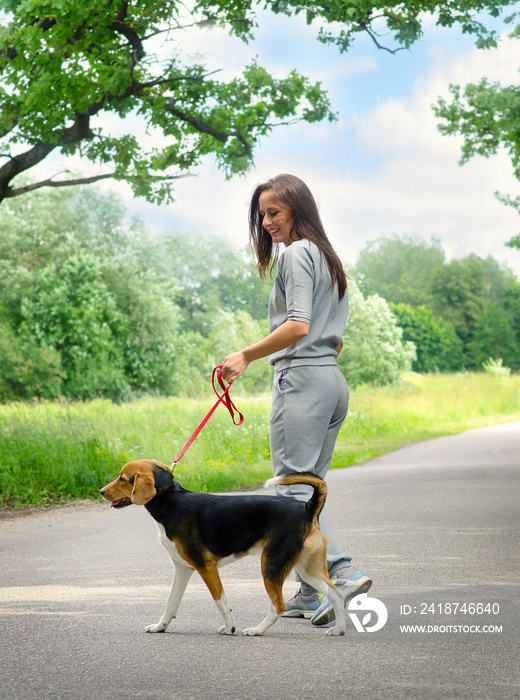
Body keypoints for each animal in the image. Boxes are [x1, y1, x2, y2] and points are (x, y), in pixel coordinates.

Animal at [99, 460, 348, 636]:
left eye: (122, 479)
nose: (101, 491)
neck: (170, 499)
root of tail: (307, 508)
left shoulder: (206, 567)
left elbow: (221, 602)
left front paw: (230, 628)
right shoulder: (182, 569)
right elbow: (170, 603)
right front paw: (160, 626)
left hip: (272, 566)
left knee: (278, 606)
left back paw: (256, 630)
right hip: (307, 569)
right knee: (336, 594)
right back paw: (338, 629)